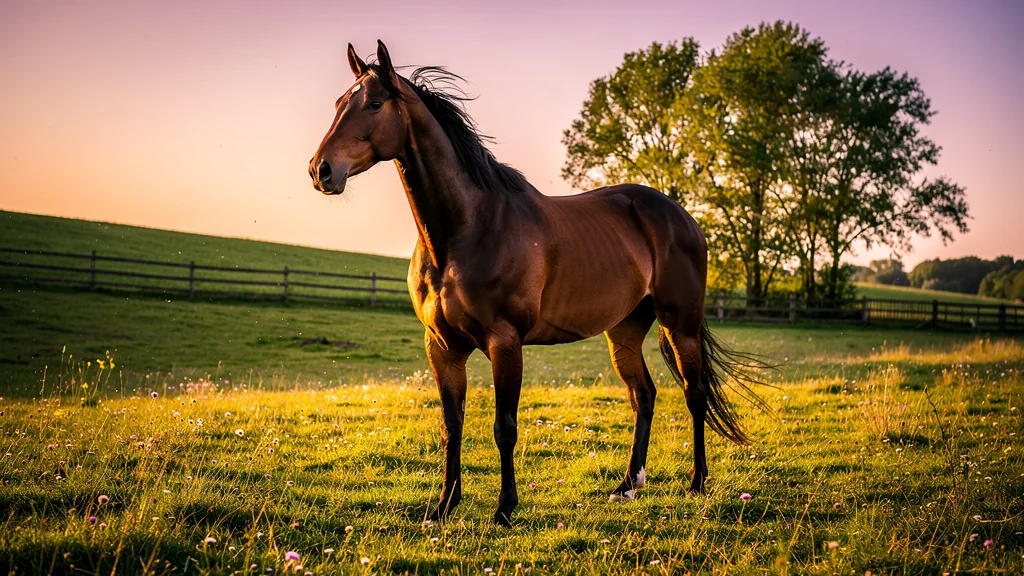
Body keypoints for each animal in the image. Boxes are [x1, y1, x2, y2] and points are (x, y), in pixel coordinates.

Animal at [309, 40, 764, 526]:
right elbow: (452, 426)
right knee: (644, 395)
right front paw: (444, 506)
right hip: (624, 331)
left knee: (695, 395)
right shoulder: (442, 347)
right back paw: (627, 485)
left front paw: (505, 508)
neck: (466, 229)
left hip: (680, 325)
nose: (321, 170)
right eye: (338, 103)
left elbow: (504, 428)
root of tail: (681, 216)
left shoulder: (504, 342)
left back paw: (697, 484)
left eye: (375, 103)